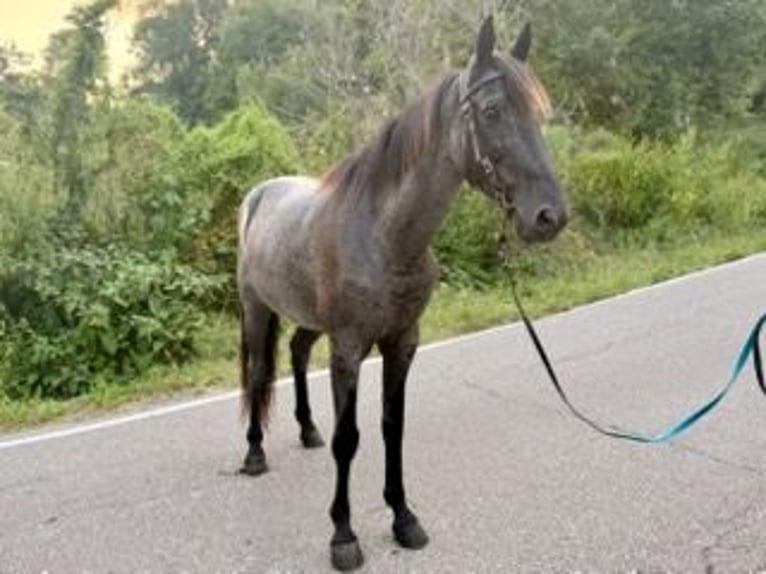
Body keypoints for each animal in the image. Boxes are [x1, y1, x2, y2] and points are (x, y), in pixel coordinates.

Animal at [236, 15, 567, 571]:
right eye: (493, 111)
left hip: (308, 320)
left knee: (298, 352)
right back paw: (255, 453)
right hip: (256, 311)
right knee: (261, 371)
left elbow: (393, 428)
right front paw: (343, 535)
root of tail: (259, 194)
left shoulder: (402, 343)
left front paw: (403, 517)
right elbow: (349, 439)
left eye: (539, 114)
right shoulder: (348, 348)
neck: (383, 235)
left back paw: (306, 430)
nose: (550, 216)